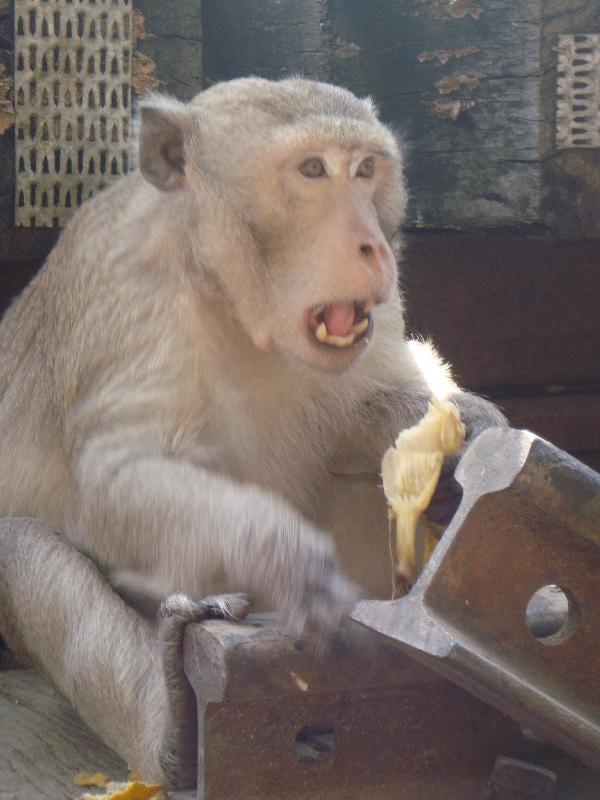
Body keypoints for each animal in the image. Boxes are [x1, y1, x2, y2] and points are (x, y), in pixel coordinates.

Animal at [0, 78, 506, 784]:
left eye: (365, 169)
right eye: (312, 169)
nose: (373, 246)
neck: (232, 303)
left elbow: (368, 412)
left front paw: (471, 440)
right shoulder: (132, 303)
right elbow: (107, 489)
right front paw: (283, 554)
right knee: (19, 544)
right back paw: (169, 727)